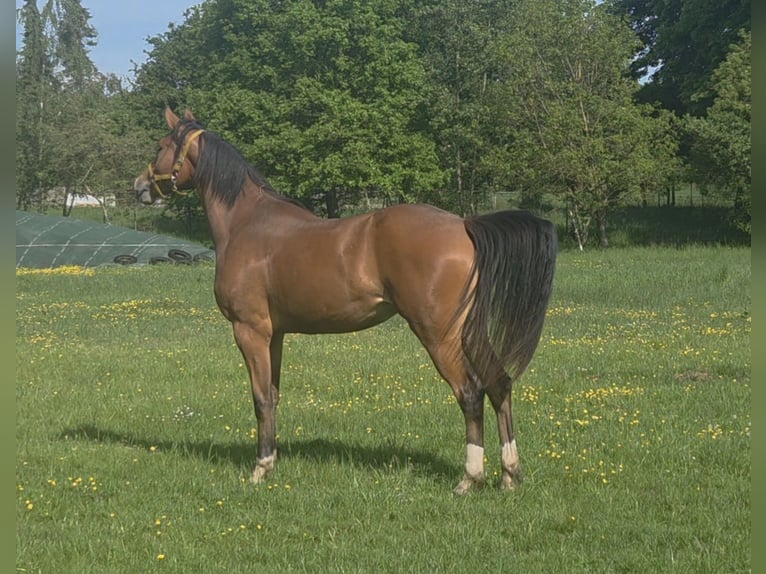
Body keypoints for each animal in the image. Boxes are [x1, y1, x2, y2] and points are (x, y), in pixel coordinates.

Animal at [133, 107, 557, 494]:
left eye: (160, 146)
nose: (139, 187)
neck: (246, 223)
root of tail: (463, 224)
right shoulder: (275, 335)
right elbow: (273, 395)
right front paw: (271, 463)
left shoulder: (249, 330)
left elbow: (260, 398)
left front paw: (260, 468)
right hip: (468, 328)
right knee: (499, 383)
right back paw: (509, 475)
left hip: (439, 333)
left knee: (469, 392)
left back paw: (469, 479)